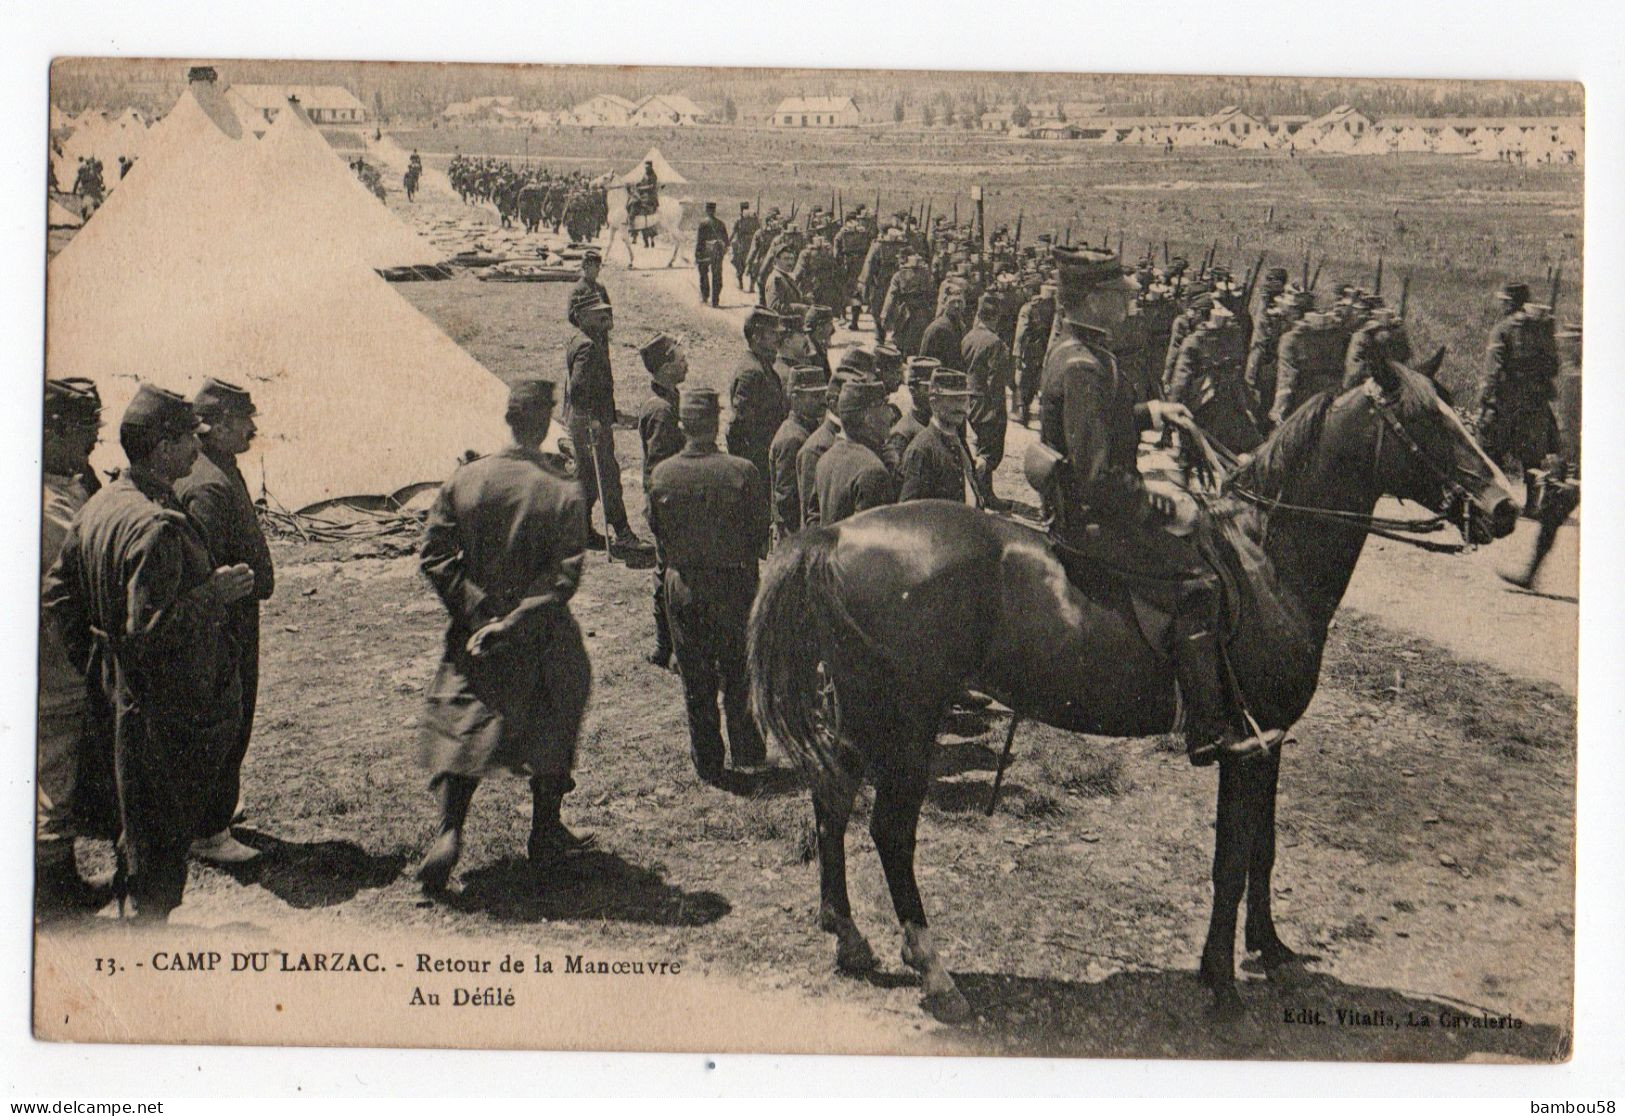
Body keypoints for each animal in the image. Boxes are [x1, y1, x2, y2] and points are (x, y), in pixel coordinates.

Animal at [744, 355, 1514, 1020]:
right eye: (1425, 420)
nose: (1505, 508)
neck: (1266, 562)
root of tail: (833, 538)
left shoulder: (1268, 741)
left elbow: (1262, 850)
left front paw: (1271, 950)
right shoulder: (1244, 747)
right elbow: (1230, 860)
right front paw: (1220, 981)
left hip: (860, 711)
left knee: (832, 799)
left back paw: (848, 937)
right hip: (906, 720)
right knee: (889, 830)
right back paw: (935, 972)